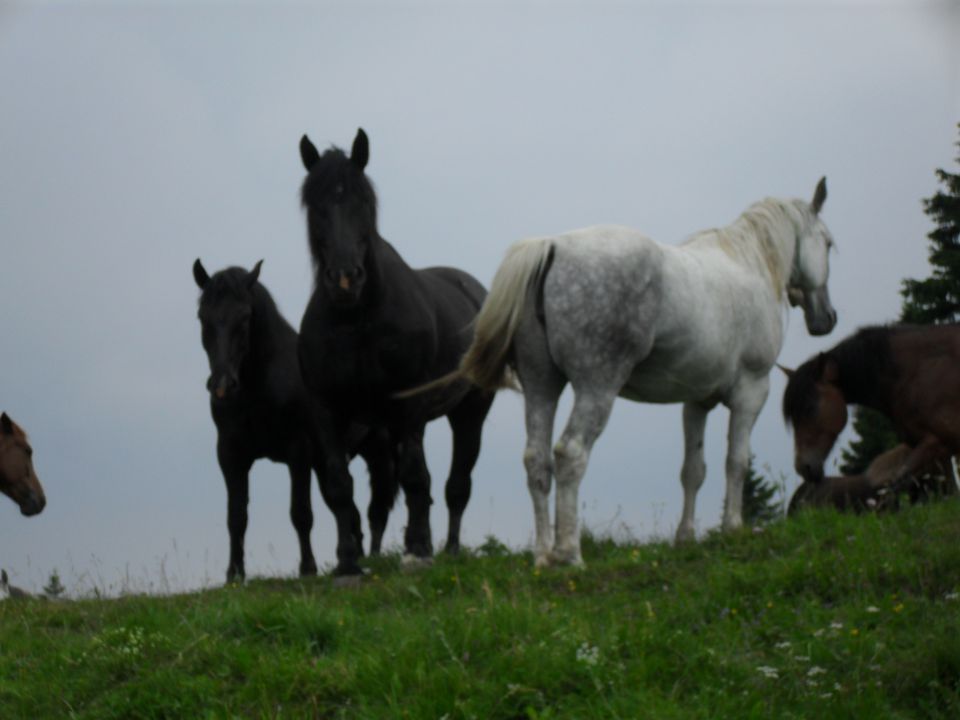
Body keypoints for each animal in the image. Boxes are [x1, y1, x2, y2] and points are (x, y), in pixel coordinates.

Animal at [193, 262, 396, 584]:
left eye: (245, 317)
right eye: (203, 317)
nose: (223, 386)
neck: (258, 386)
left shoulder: (297, 450)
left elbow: (300, 513)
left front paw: (307, 569)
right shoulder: (230, 455)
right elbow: (236, 516)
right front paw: (234, 575)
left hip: (377, 449)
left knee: (378, 506)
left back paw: (373, 557)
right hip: (326, 461)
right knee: (348, 507)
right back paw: (358, 555)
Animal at [298, 129, 496, 576]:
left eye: (363, 202)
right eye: (315, 206)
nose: (345, 278)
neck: (358, 318)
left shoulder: (409, 406)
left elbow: (415, 477)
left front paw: (418, 550)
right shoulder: (325, 410)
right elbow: (339, 486)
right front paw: (348, 563)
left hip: (469, 412)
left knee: (456, 484)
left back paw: (449, 548)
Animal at [424, 177, 836, 564]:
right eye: (829, 243)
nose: (827, 318)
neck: (748, 264)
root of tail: (552, 247)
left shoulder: (696, 403)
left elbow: (693, 470)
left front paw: (685, 537)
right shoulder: (752, 392)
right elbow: (736, 461)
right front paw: (733, 528)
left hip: (542, 388)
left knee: (537, 461)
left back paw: (543, 555)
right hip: (597, 390)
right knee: (570, 454)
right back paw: (568, 554)